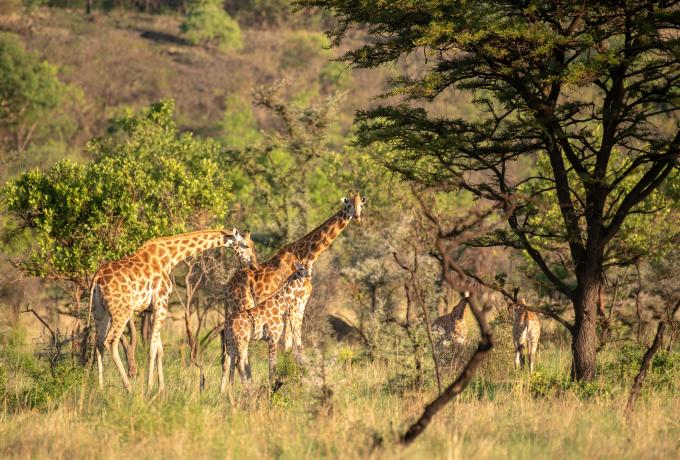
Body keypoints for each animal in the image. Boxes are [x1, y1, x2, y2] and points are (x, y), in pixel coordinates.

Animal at [90, 228, 254, 392]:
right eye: (245, 245)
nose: (253, 263)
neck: (169, 258)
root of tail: (97, 278)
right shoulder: (161, 303)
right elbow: (152, 349)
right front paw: (149, 387)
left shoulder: (153, 309)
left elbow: (159, 350)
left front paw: (161, 388)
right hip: (123, 310)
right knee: (110, 341)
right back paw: (129, 388)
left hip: (100, 311)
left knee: (98, 343)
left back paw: (100, 388)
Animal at [224, 260, 313, 391]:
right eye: (301, 268)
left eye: (310, 267)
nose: (308, 275)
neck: (280, 306)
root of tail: (228, 323)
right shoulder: (273, 338)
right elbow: (272, 365)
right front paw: (271, 388)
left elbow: (272, 364)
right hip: (241, 340)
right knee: (239, 363)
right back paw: (247, 390)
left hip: (230, 341)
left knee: (229, 361)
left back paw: (227, 392)